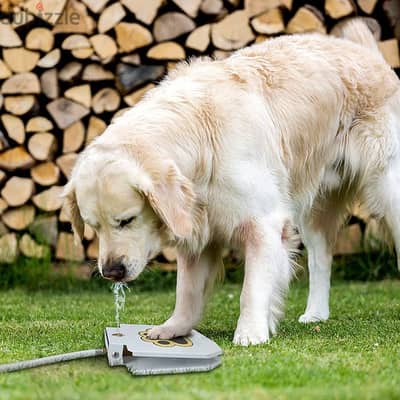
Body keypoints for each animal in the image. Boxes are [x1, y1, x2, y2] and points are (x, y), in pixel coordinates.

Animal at [63, 18, 400, 344]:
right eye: (93, 227)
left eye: (127, 220)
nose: (111, 271)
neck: (200, 135)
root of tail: (369, 54)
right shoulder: (197, 227)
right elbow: (186, 291)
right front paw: (174, 328)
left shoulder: (263, 222)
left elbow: (251, 288)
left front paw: (250, 332)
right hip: (313, 206)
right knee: (321, 259)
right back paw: (316, 313)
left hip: (388, 188)